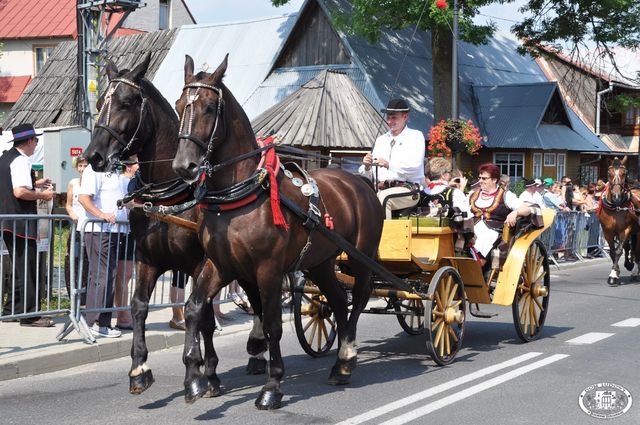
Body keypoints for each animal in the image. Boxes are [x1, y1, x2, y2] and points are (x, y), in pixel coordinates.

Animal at [171, 54, 384, 410]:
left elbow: (271, 323)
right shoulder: (220, 265)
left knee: (358, 299)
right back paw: (340, 364)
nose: (183, 166)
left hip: (361, 258)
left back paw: (346, 357)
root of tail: (360, 181)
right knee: (338, 302)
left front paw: (272, 386)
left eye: (210, 108)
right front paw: (195, 379)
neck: (237, 198)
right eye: (177, 106)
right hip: (320, 262)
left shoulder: (267, 269)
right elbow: (194, 309)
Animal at [600, 156, 640, 284]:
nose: (617, 196)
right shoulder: (607, 232)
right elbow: (613, 252)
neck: (616, 207)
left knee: (636, 250)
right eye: (609, 173)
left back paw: (635, 271)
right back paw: (629, 264)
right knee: (628, 247)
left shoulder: (625, 230)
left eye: (624, 173)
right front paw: (616, 272)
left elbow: (618, 251)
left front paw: (613, 274)